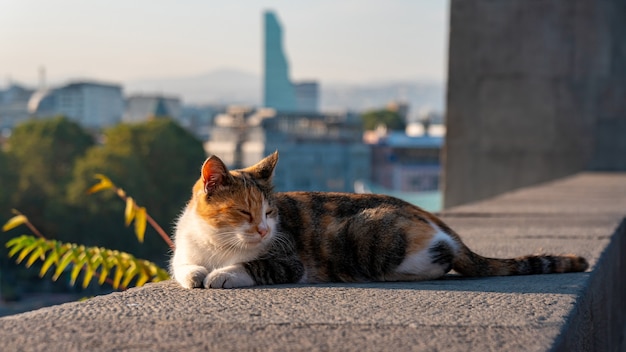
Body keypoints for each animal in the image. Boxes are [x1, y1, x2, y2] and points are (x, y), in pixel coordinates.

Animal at [168, 152, 588, 288]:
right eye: (245, 211)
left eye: (270, 212)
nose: (264, 229)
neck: (219, 243)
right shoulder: (184, 250)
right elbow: (184, 267)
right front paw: (196, 275)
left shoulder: (290, 261)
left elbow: (255, 266)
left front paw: (223, 275)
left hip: (369, 233)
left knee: (438, 260)